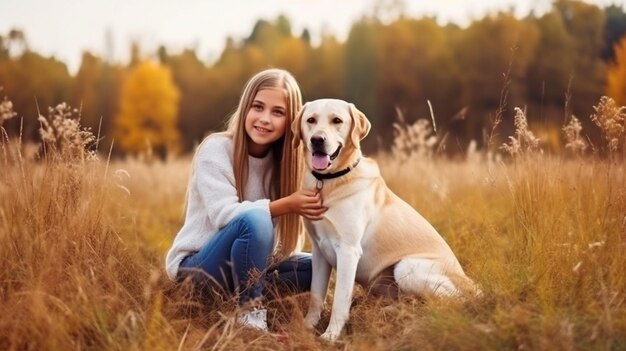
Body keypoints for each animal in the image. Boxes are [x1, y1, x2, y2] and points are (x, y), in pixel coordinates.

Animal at [292, 98, 478, 340]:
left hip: (407, 268)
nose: (317, 140)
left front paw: (331, 336)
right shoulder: (319, 250)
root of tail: (473, 286)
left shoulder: (348, 250)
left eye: (337, 120)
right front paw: (306, 327)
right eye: (311, 120)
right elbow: (316, 296)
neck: (329, 182)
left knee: (453, 303)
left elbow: (340, 301)